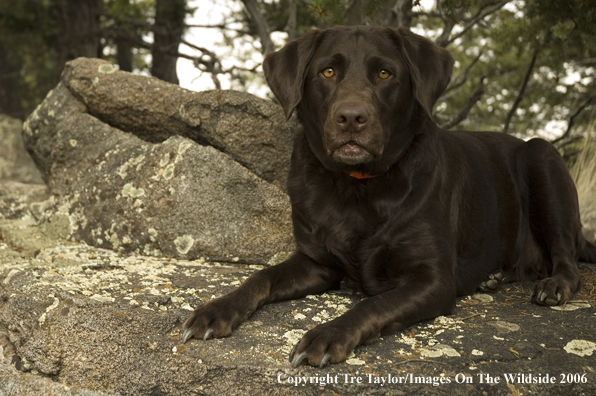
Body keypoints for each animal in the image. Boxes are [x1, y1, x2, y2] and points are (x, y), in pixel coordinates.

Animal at [183, 26, 596, 368]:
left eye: (385, 74)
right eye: (327, 72)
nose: (351, 117)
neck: (356, 187)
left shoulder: (431, 280)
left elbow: (374, 302)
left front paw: (327, 335)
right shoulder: (316, 262)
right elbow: (262, 277)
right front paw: (217, 309)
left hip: (542, 156)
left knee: (568, 259)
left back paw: (553, 285)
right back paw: (493, 277)